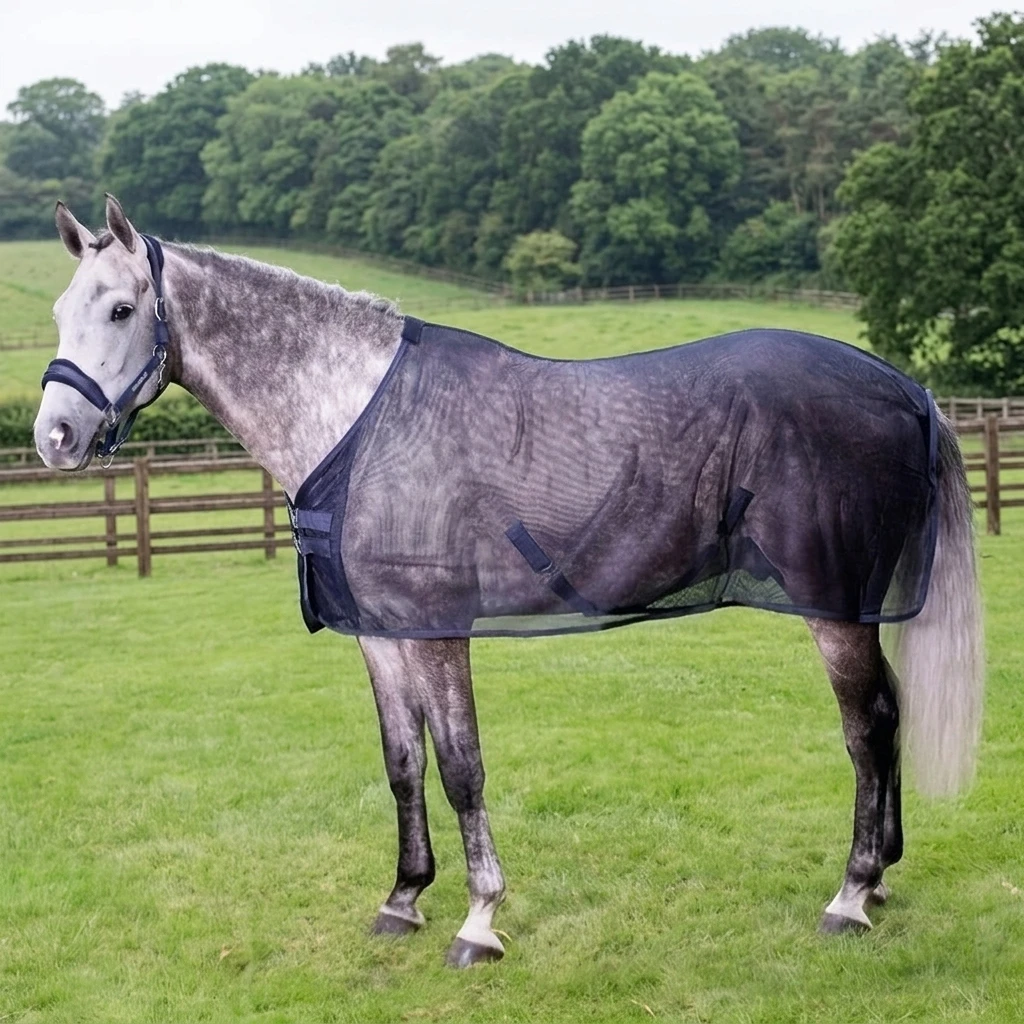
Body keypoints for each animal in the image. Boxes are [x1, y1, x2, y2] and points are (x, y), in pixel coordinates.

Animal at [33, 196, 984, 967]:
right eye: (58, 311)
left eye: (121, 308)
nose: (53, 437)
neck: (361, 419)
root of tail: (905, 388)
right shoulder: (381, 635)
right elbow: (403, 763)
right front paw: (403, 899)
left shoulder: (437, 630)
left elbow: (462, 767)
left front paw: (479, 920)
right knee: (890, 716)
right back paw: (882, 879)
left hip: (835, 608)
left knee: (867, 729)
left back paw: (851, 895)